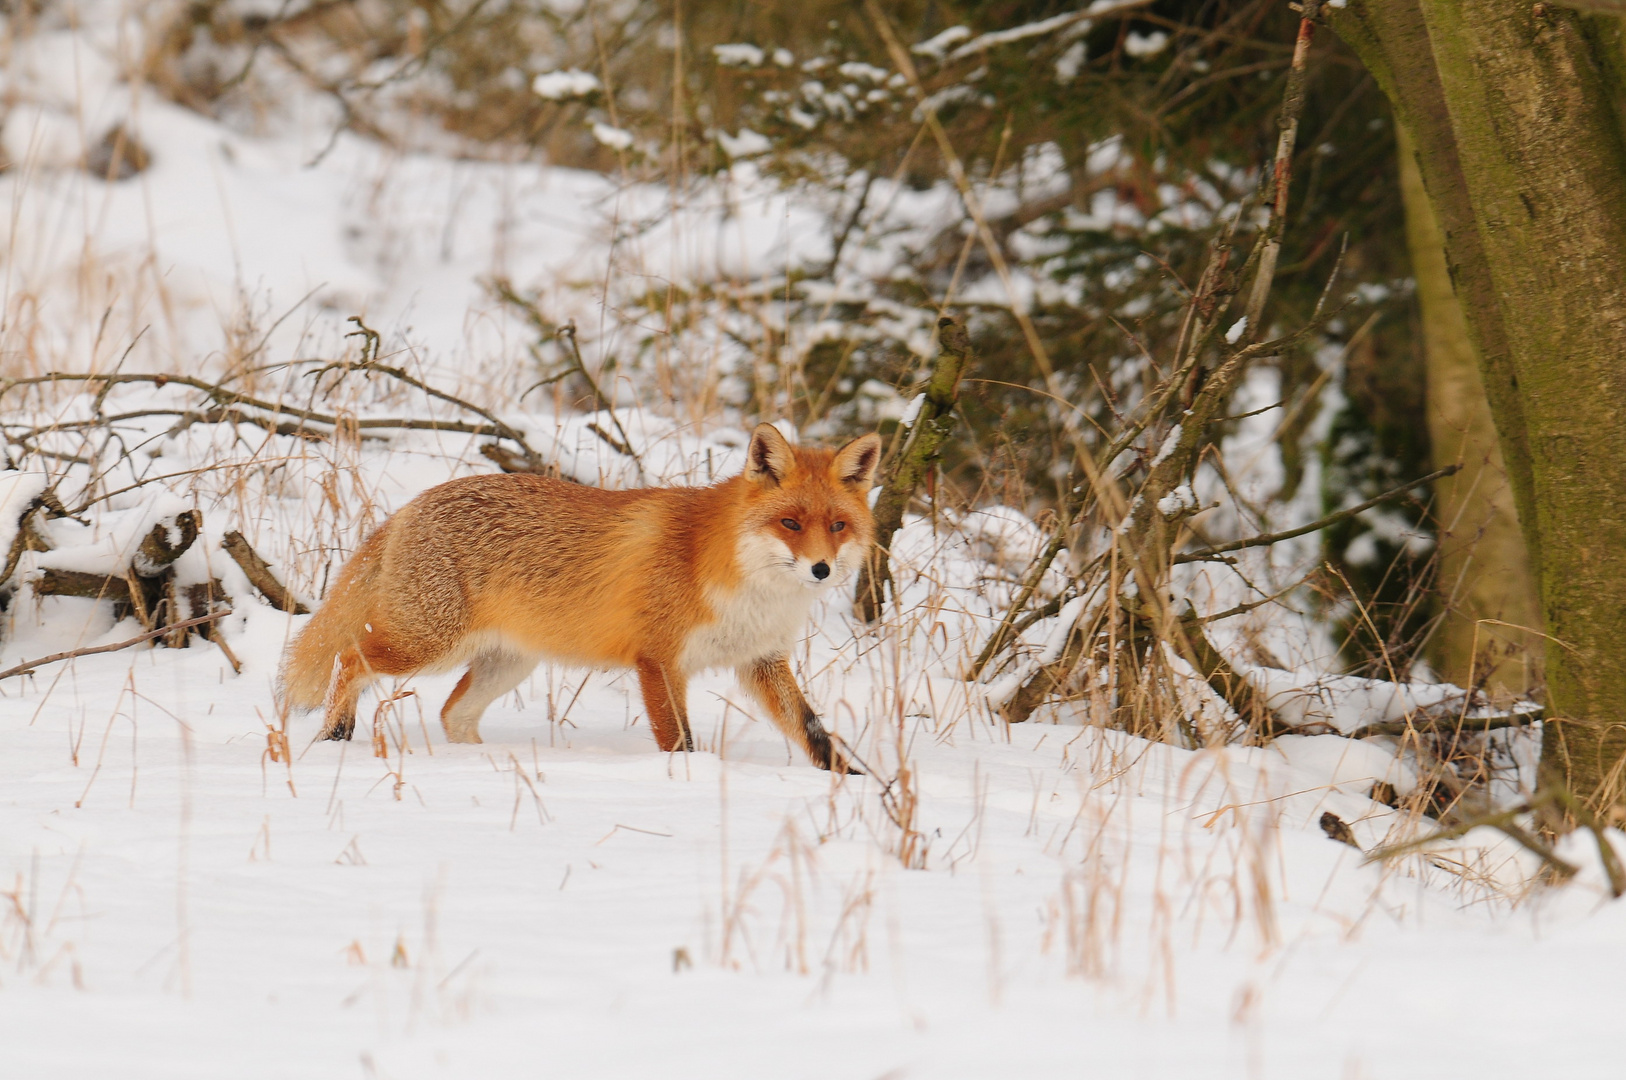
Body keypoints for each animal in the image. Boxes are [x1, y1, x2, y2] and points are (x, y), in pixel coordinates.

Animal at [276, 422, 878, 767]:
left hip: (506, 663)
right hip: (427, 646)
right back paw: (334, 734)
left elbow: (815, 733)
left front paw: (859, 783)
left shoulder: (760, 660)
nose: (821, 569)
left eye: (838, 526)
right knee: (349, 657)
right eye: (790, 523)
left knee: (452, 714)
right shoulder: (658, 661)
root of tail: (409, 505)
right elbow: (679, 742)